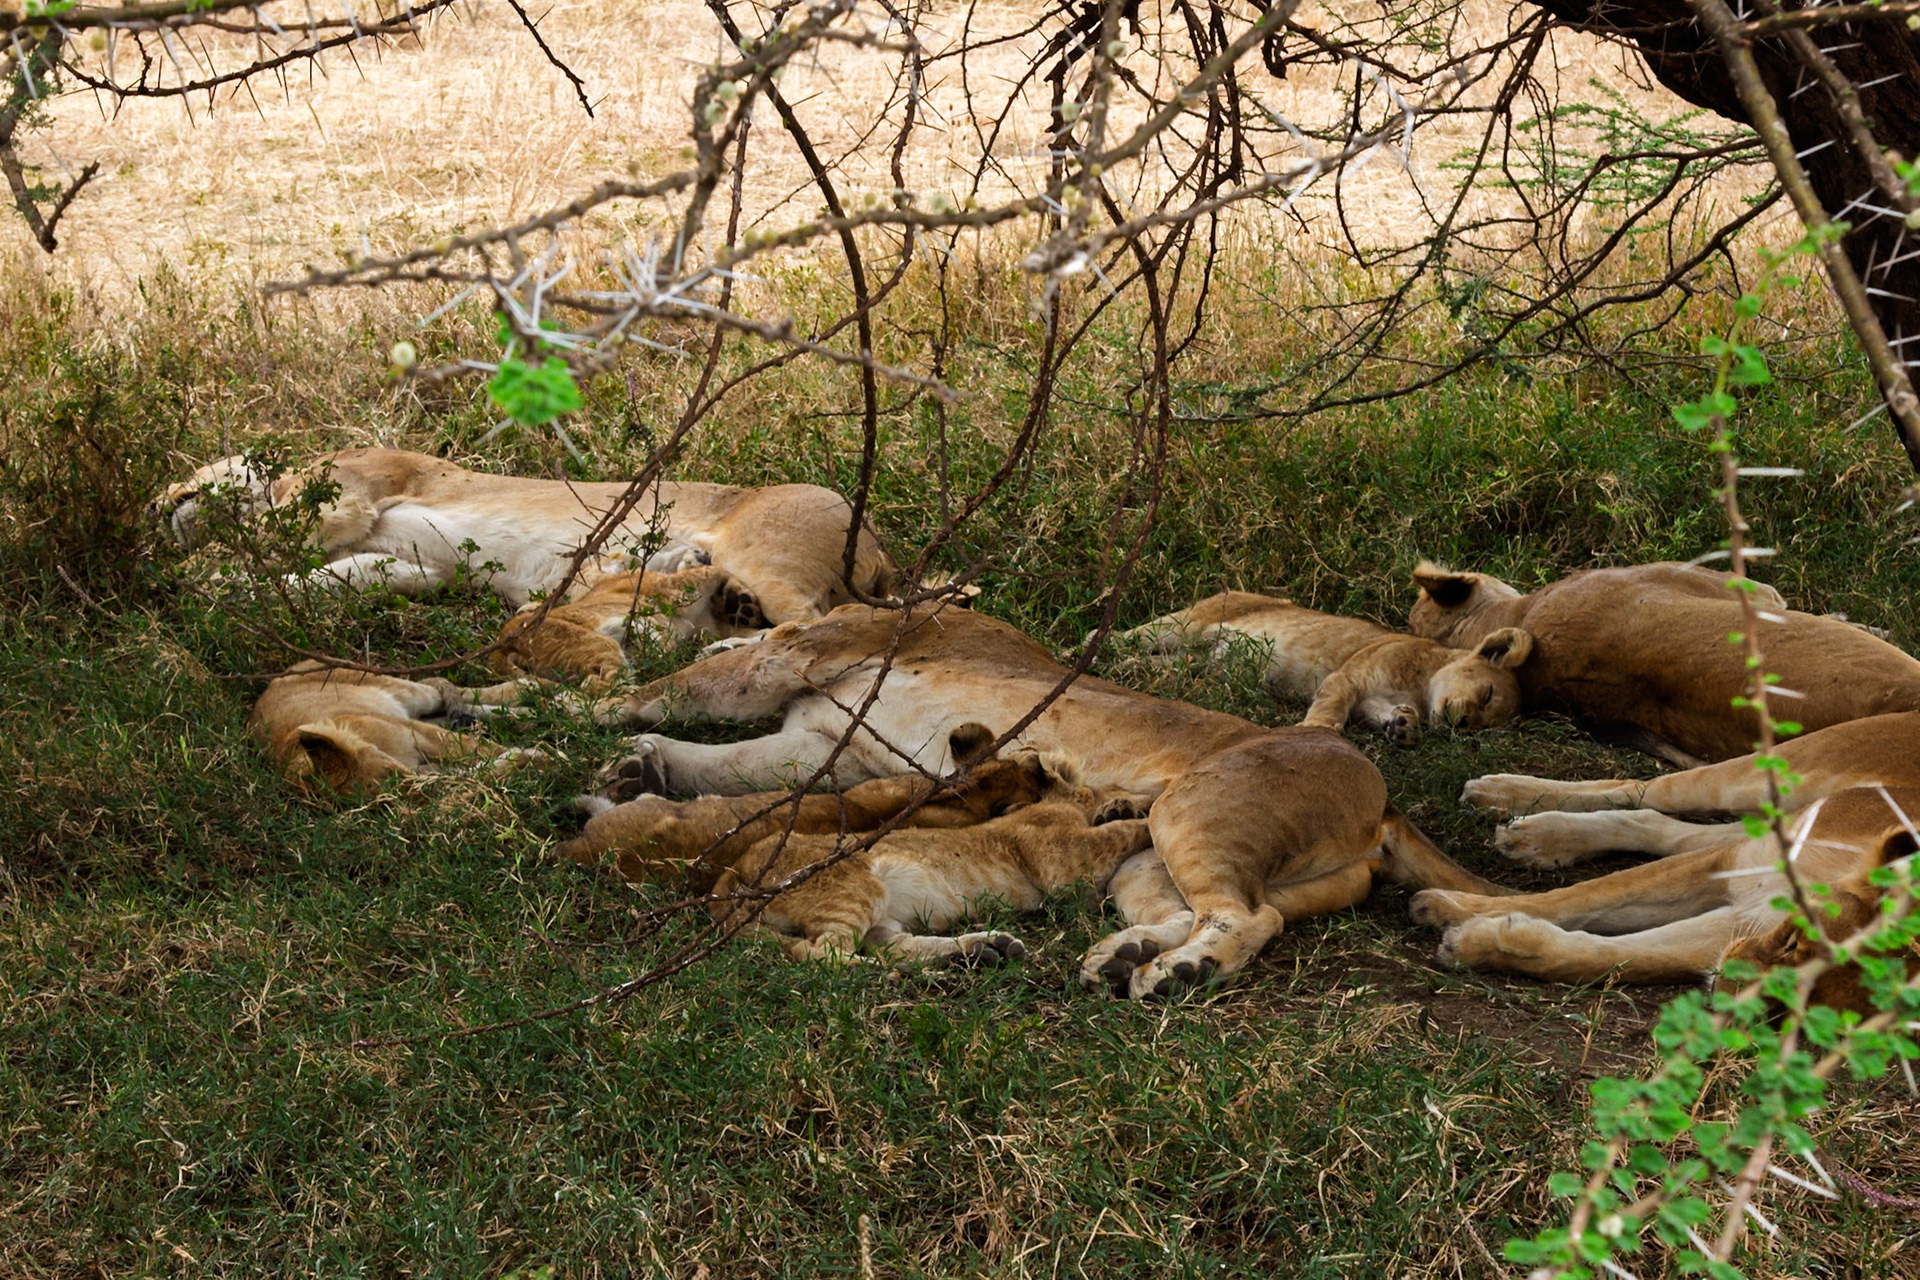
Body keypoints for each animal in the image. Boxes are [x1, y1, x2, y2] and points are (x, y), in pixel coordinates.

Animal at [250, 661, 539, 792]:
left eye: (390, 770)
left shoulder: (412, 730)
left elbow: (477, 747)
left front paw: (534, 756)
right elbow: (471, 769)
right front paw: (525, 759)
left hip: (402, 689)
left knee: (452, 690)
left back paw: (532, 693)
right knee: (454, 709)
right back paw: (529, 714)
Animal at [490, 564, 770, 691]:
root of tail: (500, 646)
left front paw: (740, 609)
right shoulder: (674, 587)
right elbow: (715, 569)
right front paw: (742, 602)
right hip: (597, 644)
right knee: (598, 684)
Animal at [710, 752, 1159, 965]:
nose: (1138, 791)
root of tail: (728, 879)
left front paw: (1125, 808)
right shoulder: (1060, 861)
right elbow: (1126, 831)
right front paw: (1144, 811)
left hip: (880, 917)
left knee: (894, 947)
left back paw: (984, 950)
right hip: (854, 886)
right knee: (821, 952)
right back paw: (878, 973)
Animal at [1122, 590, 1533, 745]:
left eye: (1483, 726)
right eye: (1487, 693)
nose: (1462, 724)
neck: (1422, 685)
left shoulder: (1370, 700)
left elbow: (1383, 713)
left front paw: (1404, 727)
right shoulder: (1349, 676)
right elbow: (1331, 707)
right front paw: (1315, 730)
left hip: (1193, 660)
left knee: (1162, 663)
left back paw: (1130, 667)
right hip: (1183, 625)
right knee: (1120, 635)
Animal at [1410, 785, 1920, 995]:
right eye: (1796, 942)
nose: (1731, 993)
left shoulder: (1738, 927)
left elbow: (1620, 957)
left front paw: (1480, 941)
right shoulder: (1731, 870)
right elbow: (1580, 897)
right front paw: (1451, 907)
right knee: (1666, 826)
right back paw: (1535, 834)